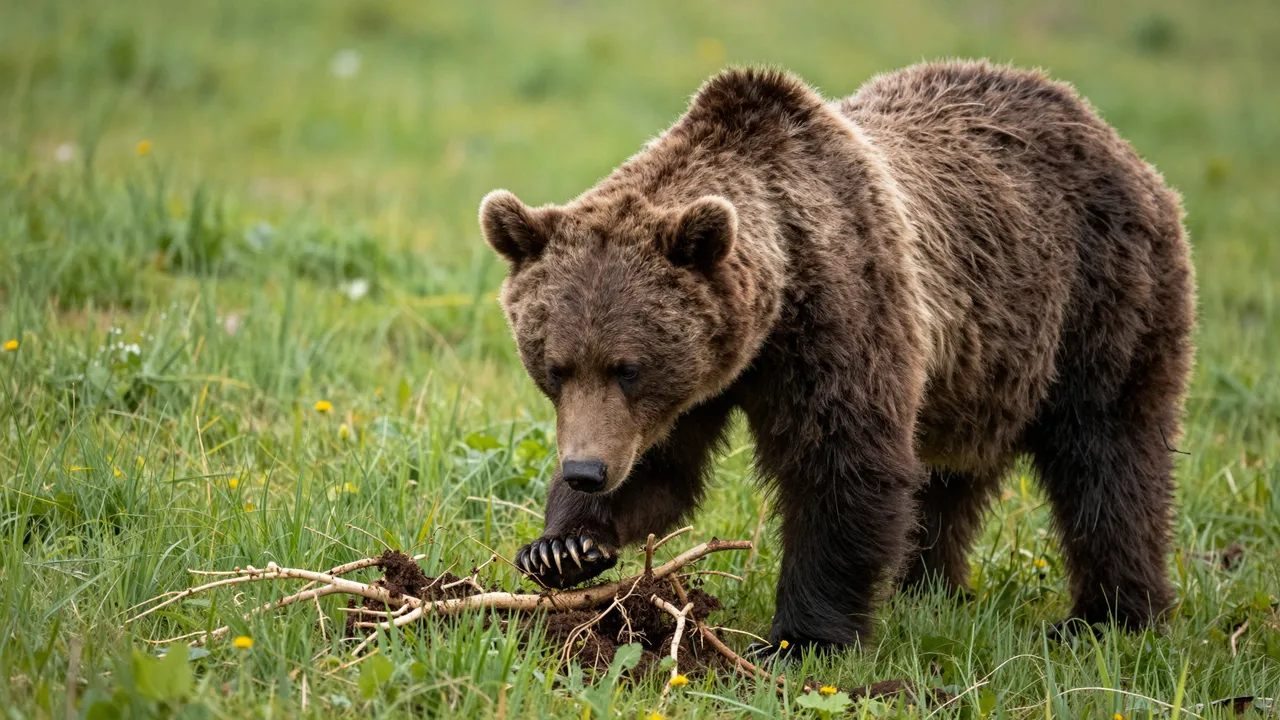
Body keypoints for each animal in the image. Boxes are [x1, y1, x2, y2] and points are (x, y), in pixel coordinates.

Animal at [478, 60, 1196, 653]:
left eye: (629, 367)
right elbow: (662, 470)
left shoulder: (839, 315)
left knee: (1108, 457)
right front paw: (563, 547)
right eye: (556, 366)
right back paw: (927, 585)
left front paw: (802, 639)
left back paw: (1109, 617)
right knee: (949, 476)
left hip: (1098, 301)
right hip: (979, 367)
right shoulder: (704, 379)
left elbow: (842, 467)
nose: (585, 471)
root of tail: (1111, 137)